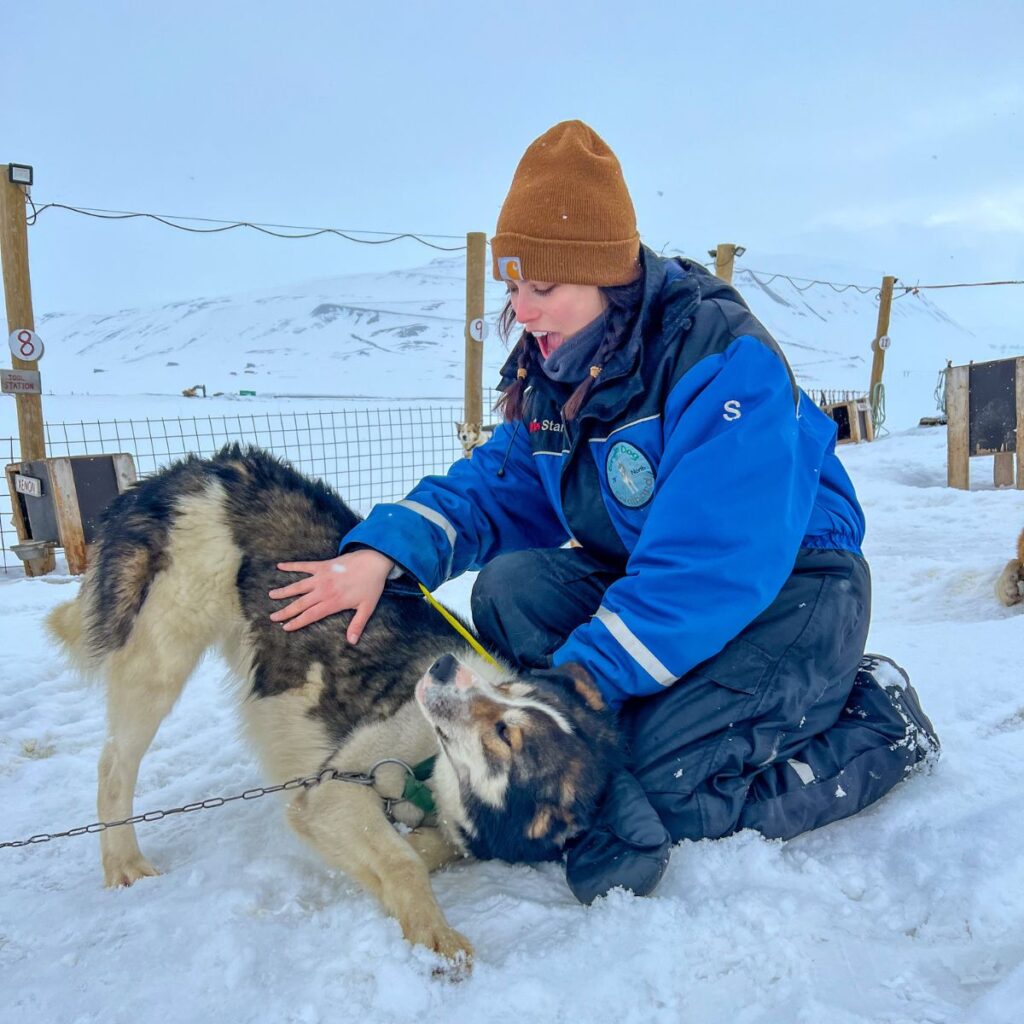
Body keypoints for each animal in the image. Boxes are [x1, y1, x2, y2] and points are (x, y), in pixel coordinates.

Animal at [48, 444, 618, 962]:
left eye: (505, 731)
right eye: (504, 698)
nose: (442, 669)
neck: (429, 773)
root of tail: (207, 464)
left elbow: (422, 848)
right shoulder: (330, 791)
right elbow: (403, 861)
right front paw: (433, 932)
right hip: (162, 660)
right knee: (114, 765)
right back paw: (123, 859)